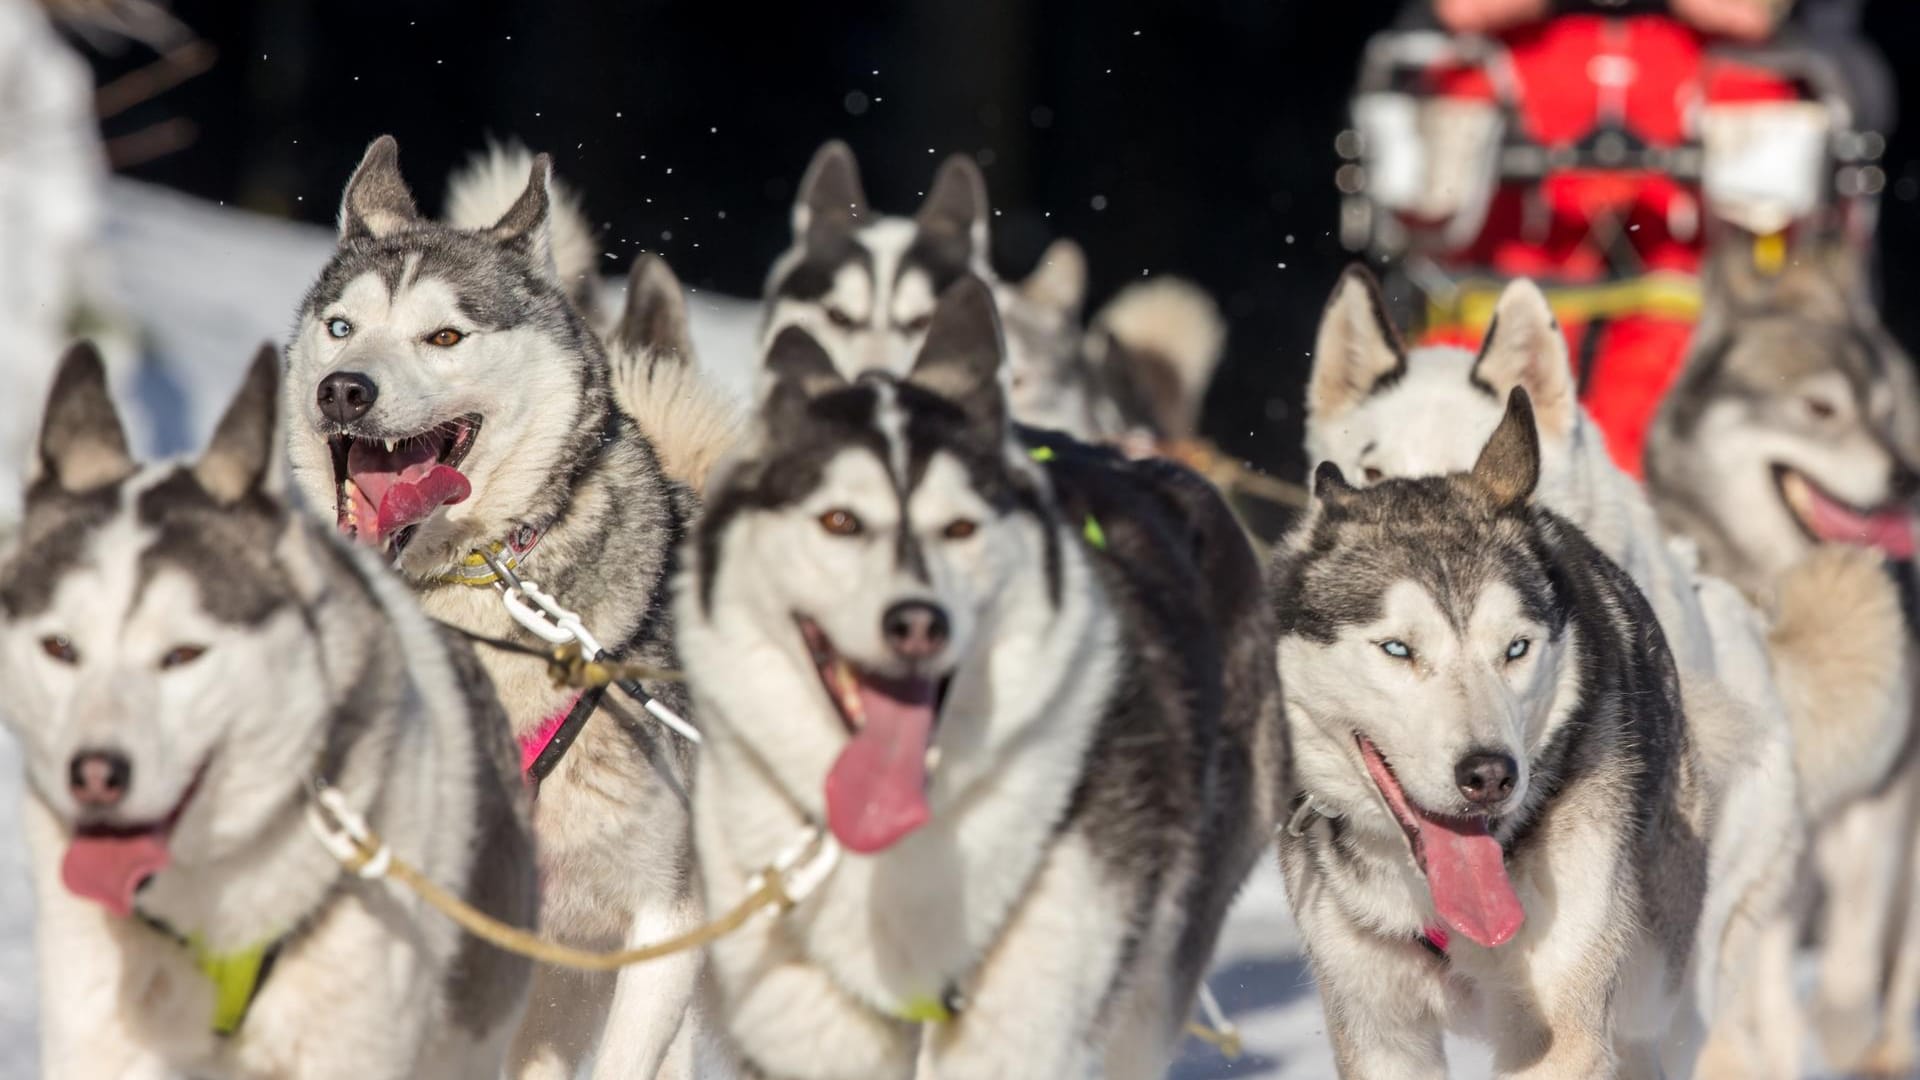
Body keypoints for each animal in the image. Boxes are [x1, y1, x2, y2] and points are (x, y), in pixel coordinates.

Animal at [1282, 390, 1720, 1068]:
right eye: (1397, 648)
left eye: (1515, 648)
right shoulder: (1376, 1025)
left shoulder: (1560, 1026)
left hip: (1650, 979)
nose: (1489, 775)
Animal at [1643, 239, 1920, 1068]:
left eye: (1883, 414)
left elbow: (1851, 963)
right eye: (1820, 409)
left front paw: (1839, 1027)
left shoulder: (1874, 798)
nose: (1905, 477)